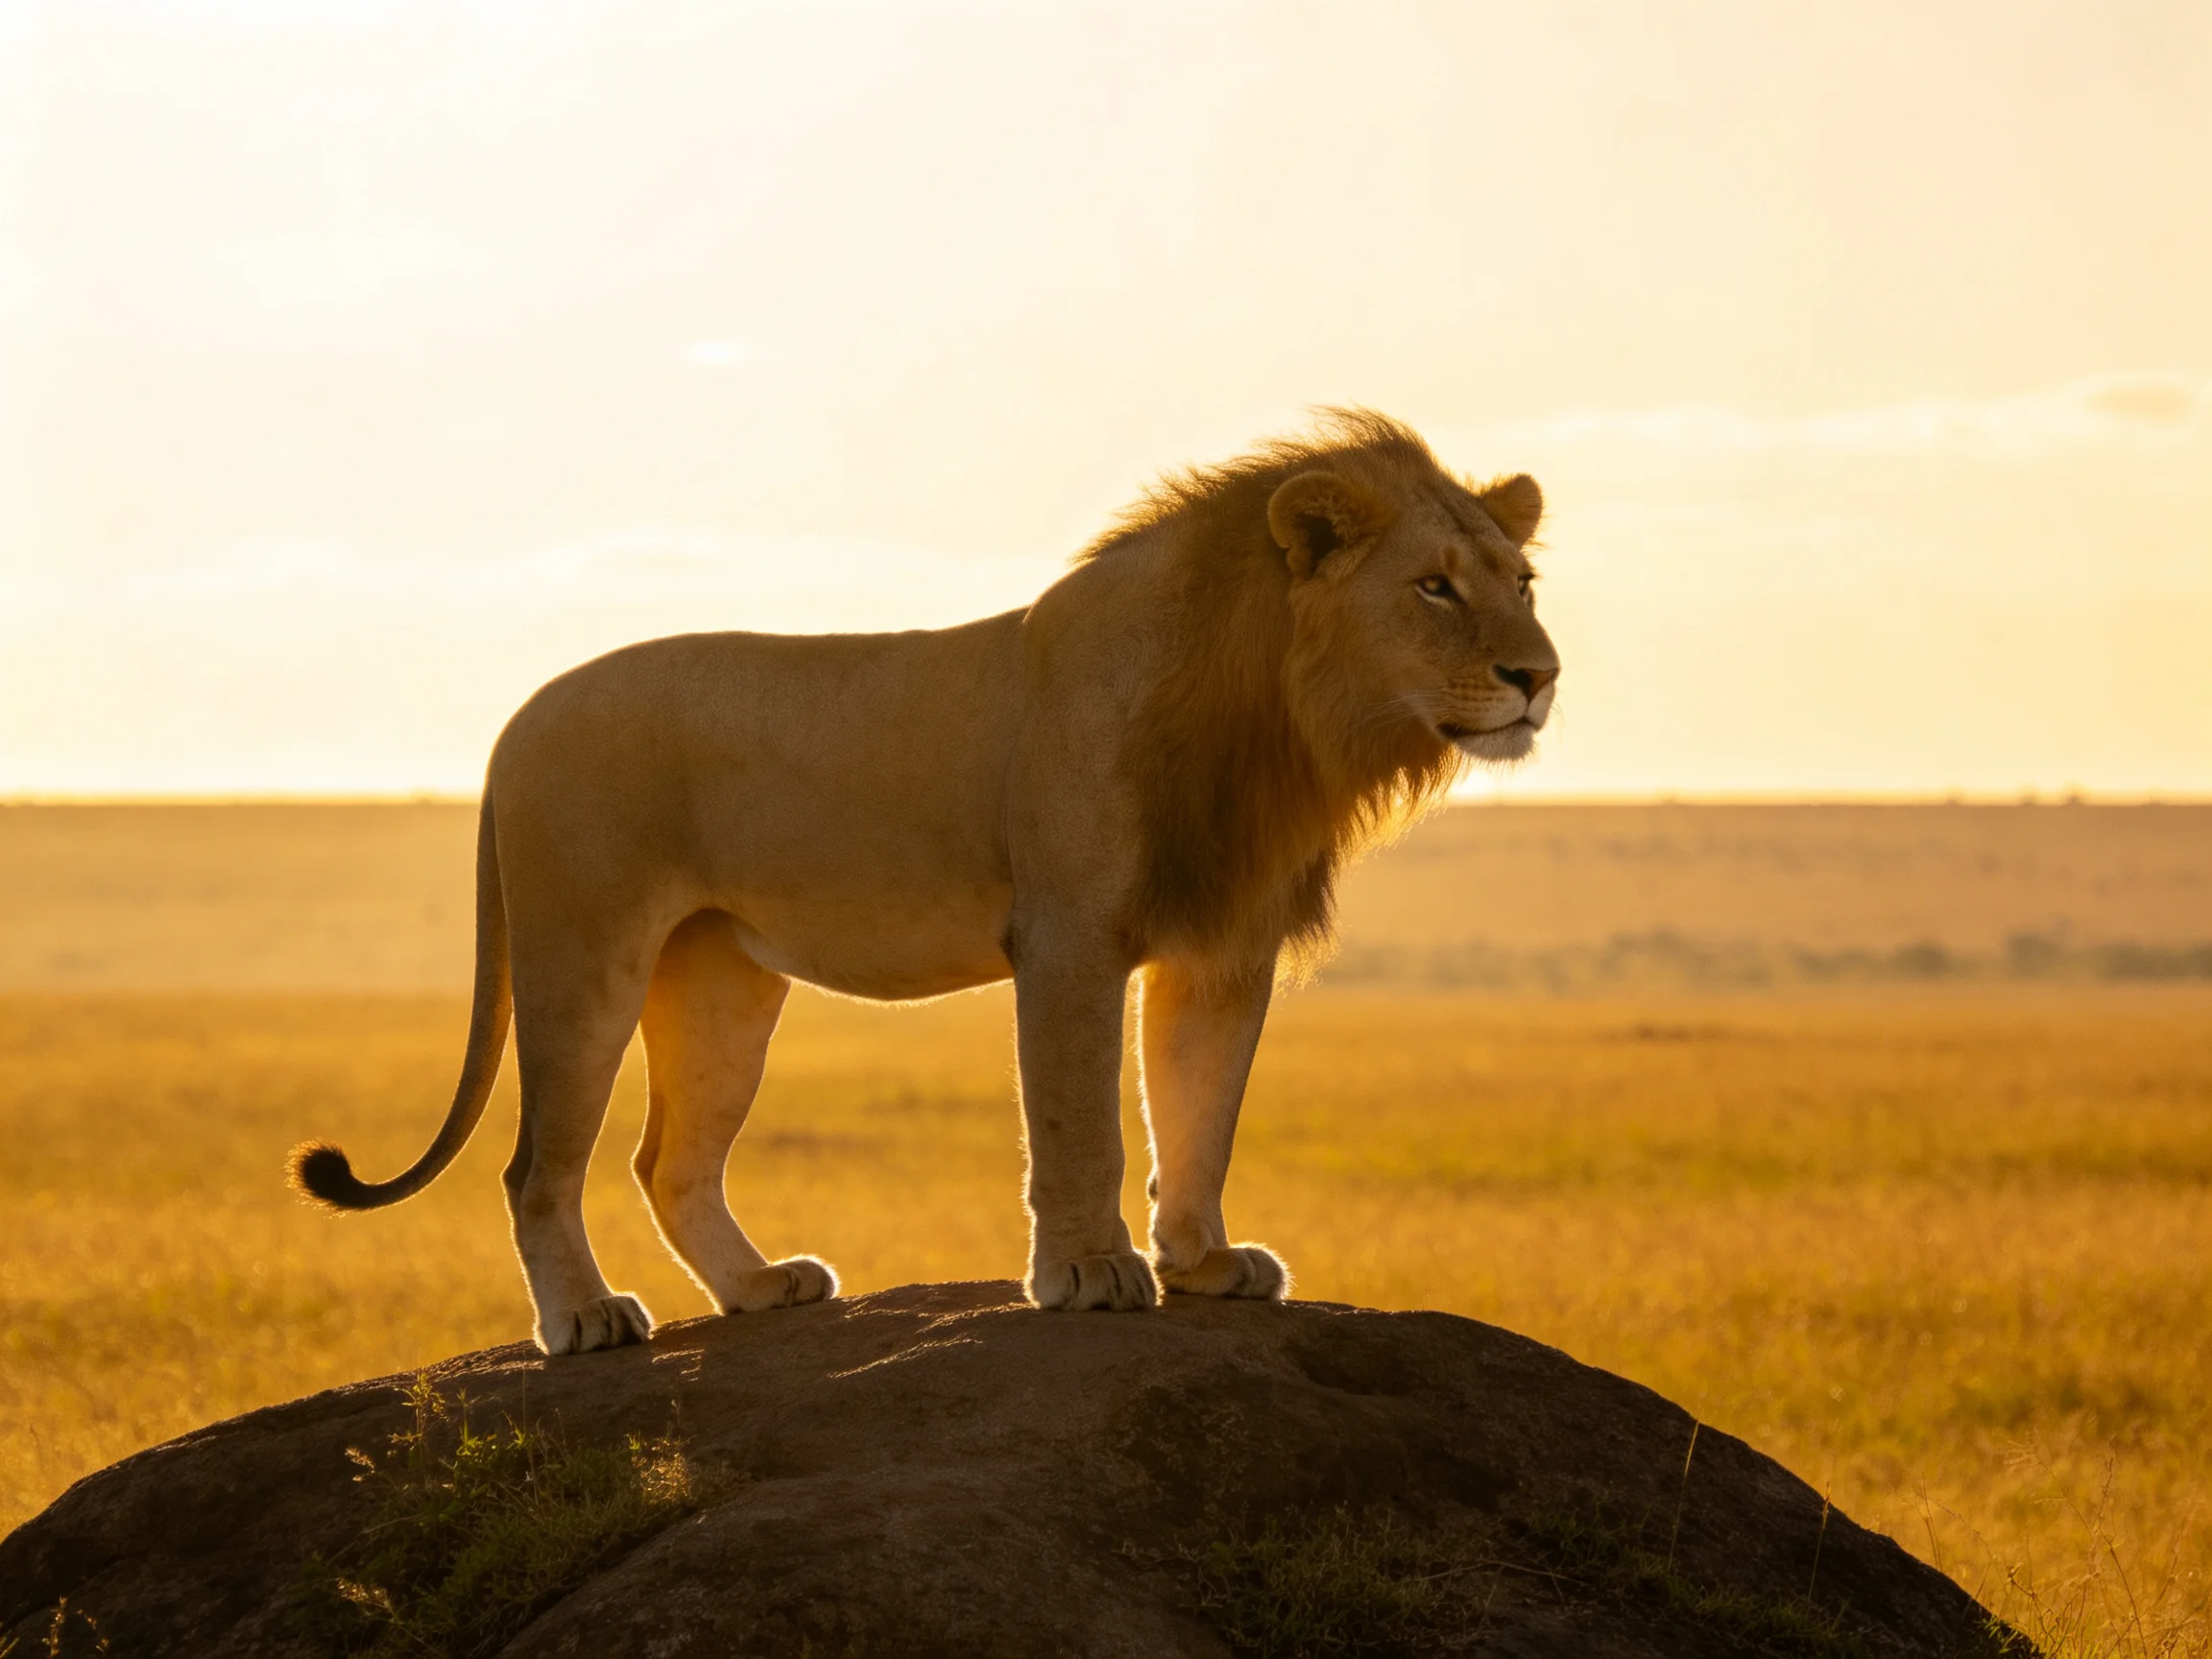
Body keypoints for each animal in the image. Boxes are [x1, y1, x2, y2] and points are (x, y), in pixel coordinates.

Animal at [291, 410, 1560, 1355]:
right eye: (1435, 588)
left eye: (1524, 582)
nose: (1539, 677)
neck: (1278, 719)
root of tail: (515, 719)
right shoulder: (1068, 937)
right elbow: (1082, 1122)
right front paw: (1091, 1271)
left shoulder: (1221, 949)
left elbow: (1200, 1114)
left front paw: (1201, 1261)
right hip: (582, 956)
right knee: (535, 1167)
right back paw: (588, 1319)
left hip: (720, 982)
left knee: (672, 1161)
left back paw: (759, 1290)